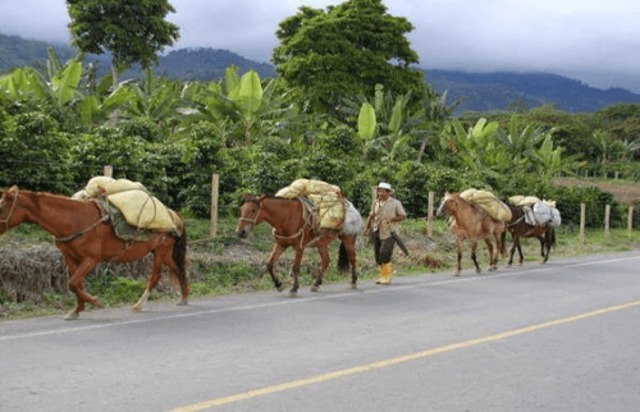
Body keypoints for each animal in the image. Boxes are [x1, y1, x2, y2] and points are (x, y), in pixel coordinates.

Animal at [0, 186, 189, 318]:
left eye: (2, 207)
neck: (74, 220)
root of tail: (173, 215)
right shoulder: (70, 257)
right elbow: (76, 284)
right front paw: (77, 309)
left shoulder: (91, 259)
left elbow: (73, 283)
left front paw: (94, 302)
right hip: (160, 252)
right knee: (177, 269)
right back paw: (184, 297)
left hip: (161, 251)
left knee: (156, 276)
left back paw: (140, 304)